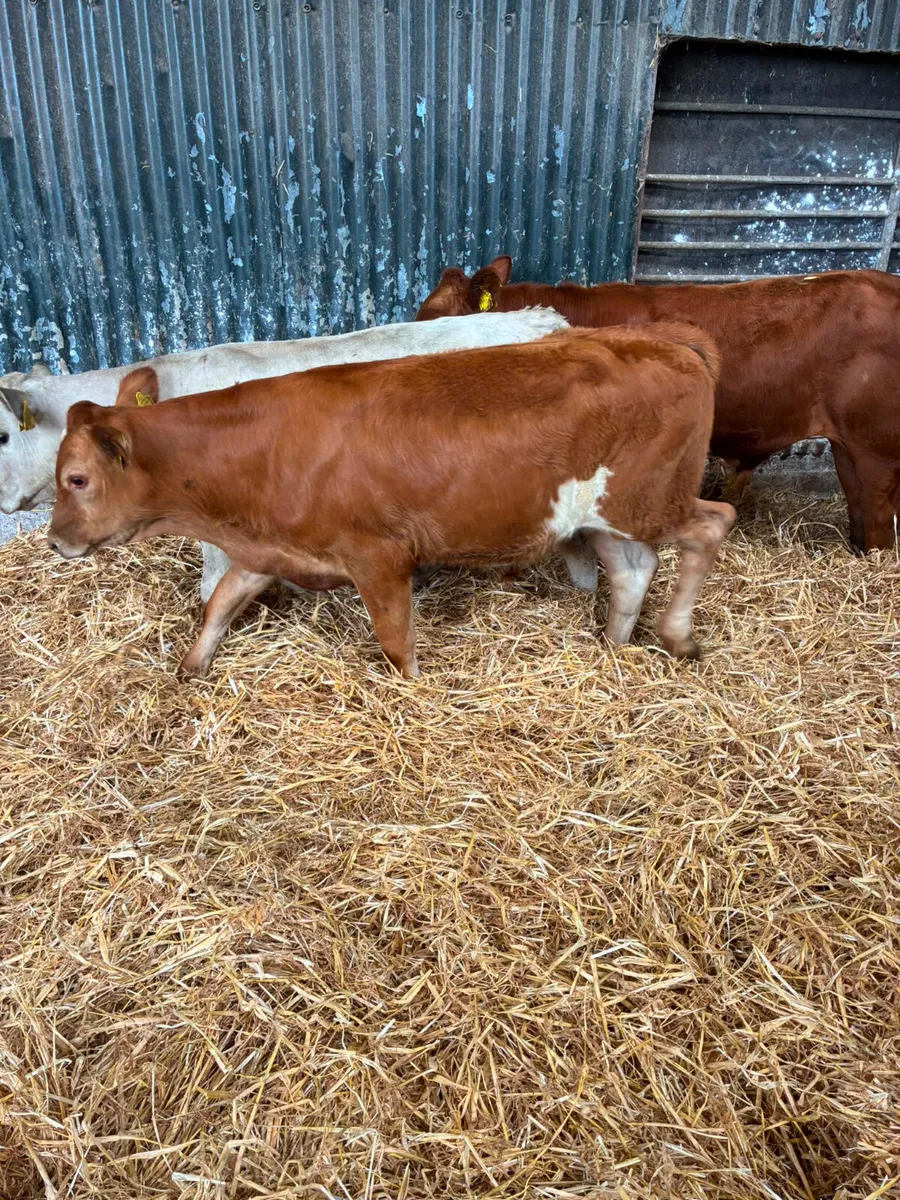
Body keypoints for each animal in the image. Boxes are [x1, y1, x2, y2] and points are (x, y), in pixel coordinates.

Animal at [47, 324, 735, 680]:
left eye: (76, 479)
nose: (55, 541)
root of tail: (667, 341)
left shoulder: (378, 555)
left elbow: (396, 643)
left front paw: (413, 694)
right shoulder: (270, 547)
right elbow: (220, 603)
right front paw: (193, 668)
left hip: (649, 500)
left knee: (711, 525)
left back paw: (677, 635)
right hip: (603, 518)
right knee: (632, 570)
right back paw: (615, 648)